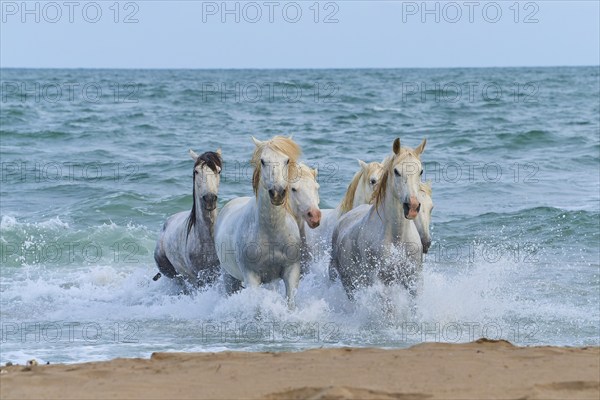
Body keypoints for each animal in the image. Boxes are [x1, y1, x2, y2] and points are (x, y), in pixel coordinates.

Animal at [213, 136, 302, 308]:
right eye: (262, 161)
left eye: (287, 160)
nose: (277, 193)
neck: (272, 232)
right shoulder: (252, 277)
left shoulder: (291, 271)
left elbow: (291, 304)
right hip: (229, 277)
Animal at [328, 139, 426, 298]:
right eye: (396, 171)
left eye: (421, 171)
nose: (412, 206)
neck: (397, 238)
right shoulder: (380, 282)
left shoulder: (414, 280)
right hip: (347, 283)